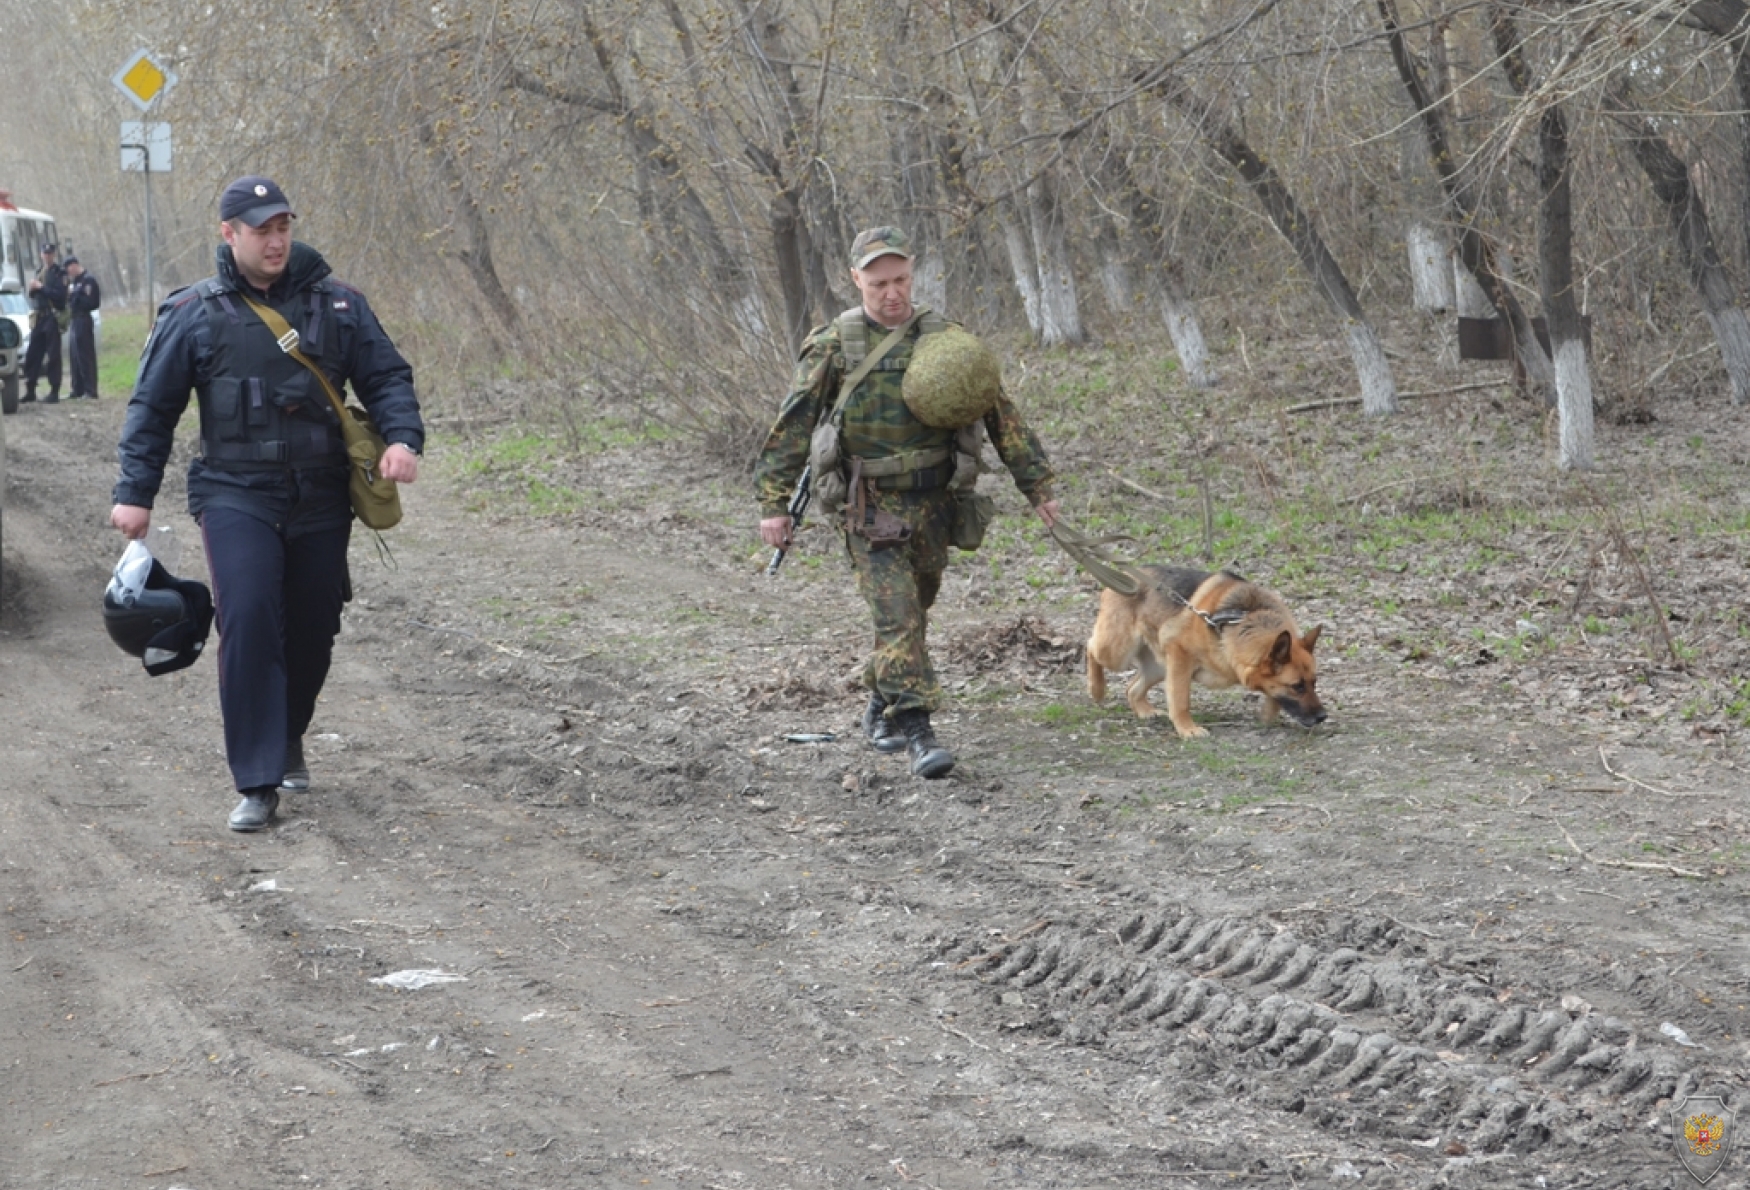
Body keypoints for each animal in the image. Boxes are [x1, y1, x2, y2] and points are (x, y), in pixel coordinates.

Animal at [1085, 567, 1316, 735]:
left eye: (1314, 682)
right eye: (1297, 686)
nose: (1321, 716)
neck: (1243, 618)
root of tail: (1123, 574)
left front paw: (1269, 711)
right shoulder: (1180, 657)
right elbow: (1181, 701)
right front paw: (1187, 729)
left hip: (1159, 668)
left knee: (1131, 689)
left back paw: (1145, 711)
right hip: (1117, 653)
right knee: (1090, 646)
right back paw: (1097, 689)